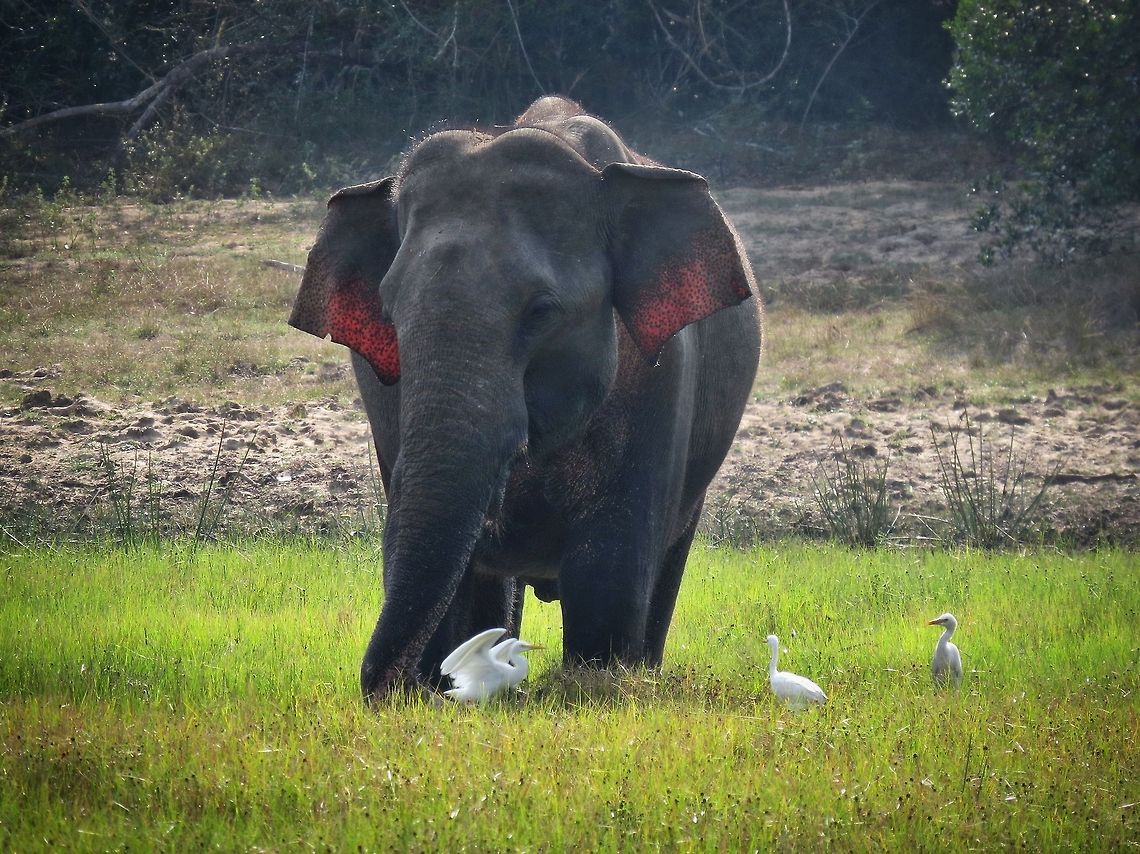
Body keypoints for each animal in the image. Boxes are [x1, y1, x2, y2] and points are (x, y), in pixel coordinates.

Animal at [289, 95, 761, 703]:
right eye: (389, 312)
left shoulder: (663, 377)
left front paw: (598, 682)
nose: (393, 688)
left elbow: (610, 563)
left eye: (541, 311)